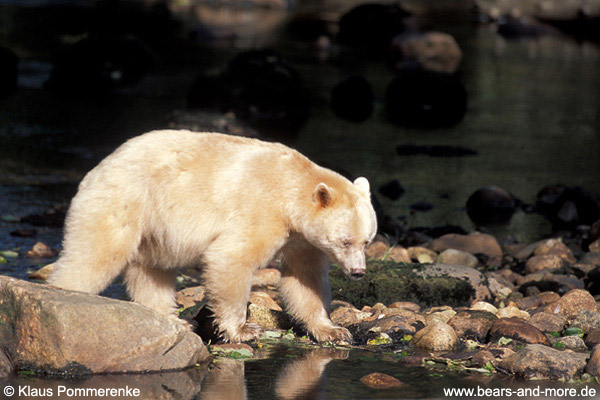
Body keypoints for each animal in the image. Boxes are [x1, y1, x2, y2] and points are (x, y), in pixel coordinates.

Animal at [48, 130, 376, 342]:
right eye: (345, 241)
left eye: (367, 240)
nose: (358, 272)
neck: (292, 189)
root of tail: (98, 167)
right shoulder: (261, 209)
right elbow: (232, 258)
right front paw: (242, 330)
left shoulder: (302, 240)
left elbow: (305, 280)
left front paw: (333, 330)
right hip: (124, 202)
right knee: (95, 255)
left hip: (153, 230)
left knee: (152, 273)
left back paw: (174, 321)